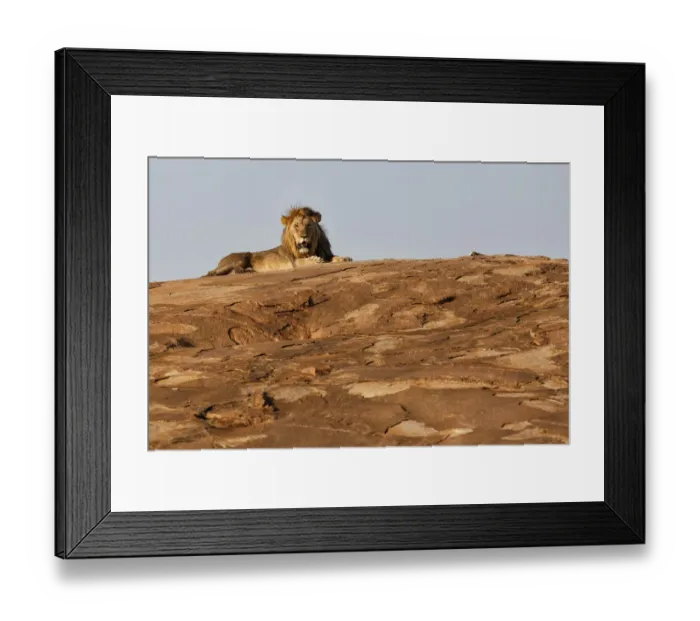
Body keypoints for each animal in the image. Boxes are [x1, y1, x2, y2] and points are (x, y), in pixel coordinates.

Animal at [205, 206, 352, 276]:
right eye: (296, 226)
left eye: (308, 225)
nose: (303, 236)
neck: (311, 248)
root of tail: (219, 263)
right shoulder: (293, 263)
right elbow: (304, 261)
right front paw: (315, 260)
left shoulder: (326, 253)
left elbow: (333, 258)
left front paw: (345, 258)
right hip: (242, 256)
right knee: (226, 271)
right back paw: (249, 270)